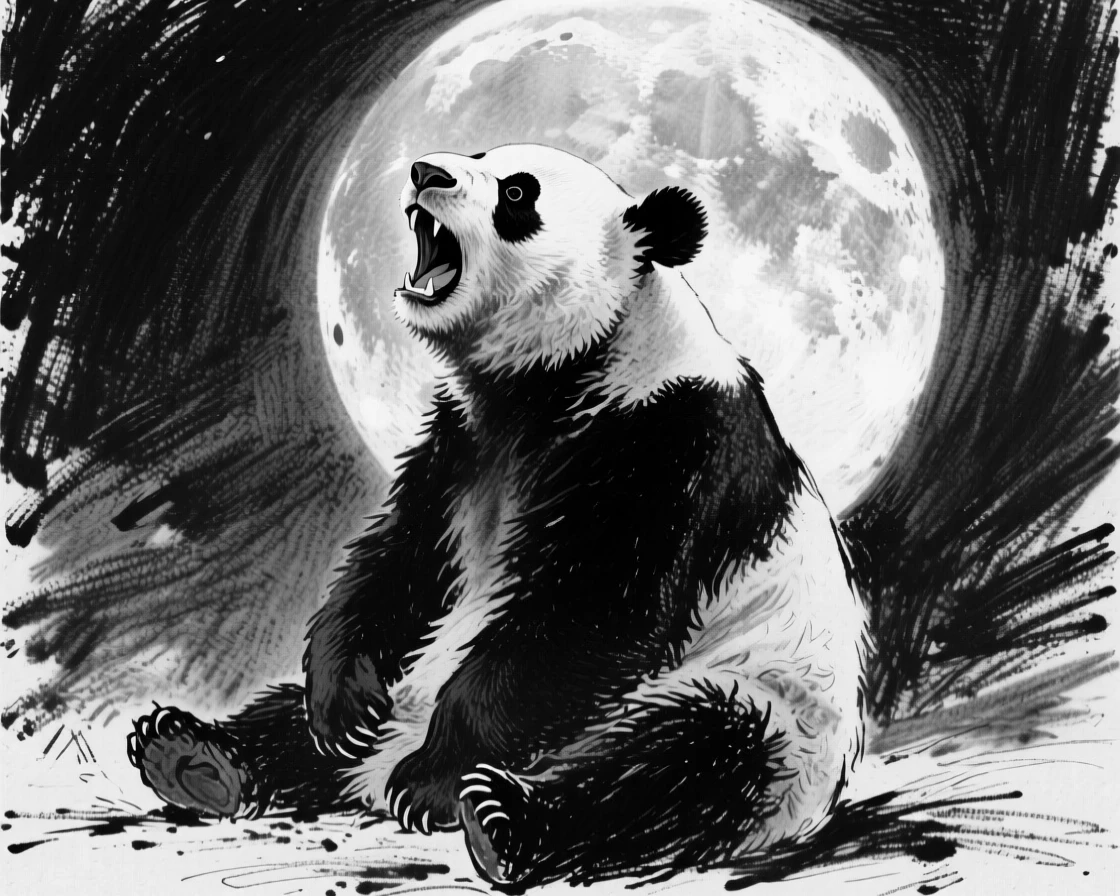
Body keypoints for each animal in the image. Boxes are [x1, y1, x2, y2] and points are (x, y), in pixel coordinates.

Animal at [128, 143, 869, 887]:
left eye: (518, 193)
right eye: (480, 153)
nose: (426, 171)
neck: (554, 374)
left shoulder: (669, 440)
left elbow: (588, 616)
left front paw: (431, 782)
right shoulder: (461, 448)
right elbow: (399, 561)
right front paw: (342, 705)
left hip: (766, 710)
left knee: (685, 763)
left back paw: (499, 819)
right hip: (415, 684)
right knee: (287, 718)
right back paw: (198, 756)